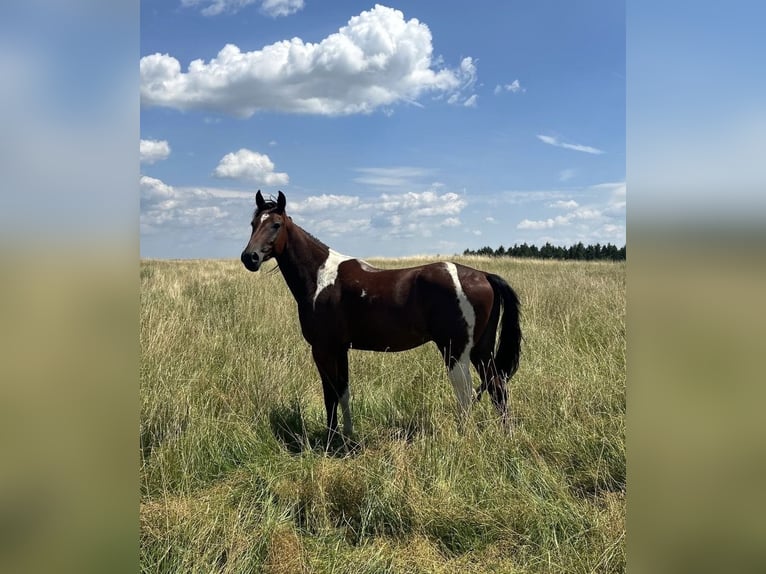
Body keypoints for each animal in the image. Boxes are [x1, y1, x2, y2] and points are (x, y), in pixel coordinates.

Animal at [241, 191, 522, 441]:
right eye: (253, 224)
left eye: (276, 224)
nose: (249, 257)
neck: (321, 278)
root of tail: (483, 275)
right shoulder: (340, 349)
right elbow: (343, 391)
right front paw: (347, 436)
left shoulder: (322, 349)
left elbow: (330, 395)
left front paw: (331, 439)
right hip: (481, 351)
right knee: (497, 388)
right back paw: (506, 437)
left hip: (455, 351)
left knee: (465, 395)